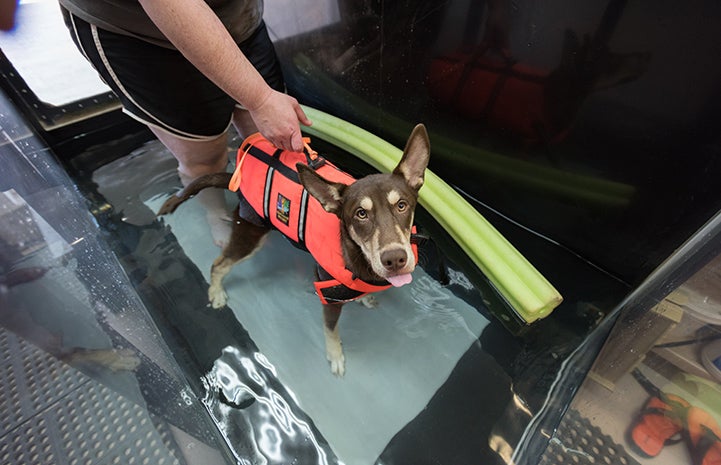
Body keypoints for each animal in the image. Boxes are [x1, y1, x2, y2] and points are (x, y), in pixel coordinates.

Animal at [158, 122, 428, 374]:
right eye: (361, 214)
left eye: (402, 205)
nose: (395, 259)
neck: (358, 254)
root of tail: (237, 179)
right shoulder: (329, 296)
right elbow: (331, 330)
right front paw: (335, 357)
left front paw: (367, 297)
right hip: (250, 235)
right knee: (218, 264)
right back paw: (216, 292)